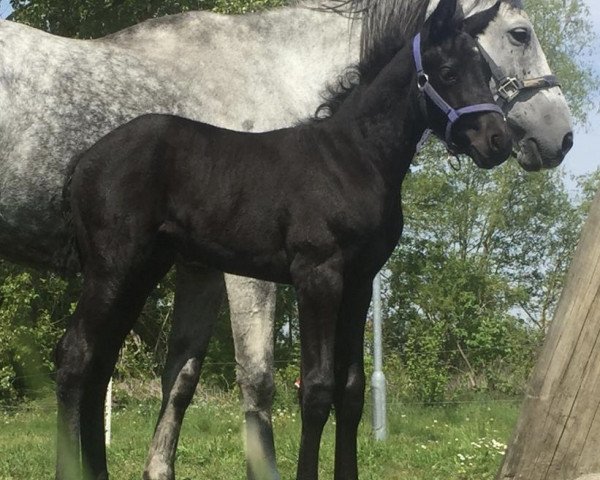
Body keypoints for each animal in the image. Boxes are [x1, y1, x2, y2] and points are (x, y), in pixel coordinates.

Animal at [57, 0, 510, 478]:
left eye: (486, 69)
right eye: (448, 72)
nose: (498, 141)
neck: (353, 159)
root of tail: (85, 160)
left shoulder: (358, 283)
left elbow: (351, 389)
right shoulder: (317, 275)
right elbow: (316, 388)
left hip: (139, 272)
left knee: (98, 366)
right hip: (111, 270)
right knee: (74, 357)